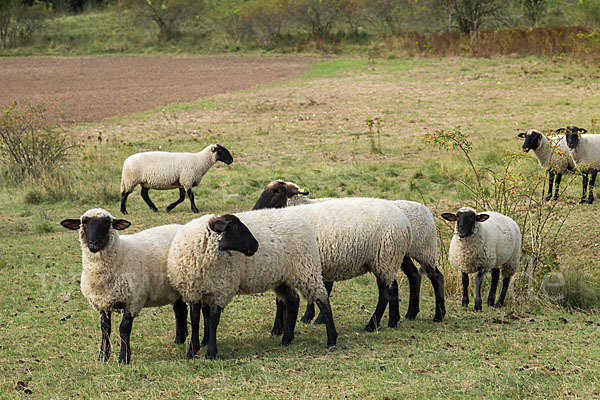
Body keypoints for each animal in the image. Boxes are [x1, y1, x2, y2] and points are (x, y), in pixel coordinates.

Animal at [60, 209, 184, 366]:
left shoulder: (133, 300)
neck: (120, 253)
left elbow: (124, 329)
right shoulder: (102, 302)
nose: (93, 243)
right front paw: (103, 356)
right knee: (179, 310)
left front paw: (124, 357)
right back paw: (179, 340)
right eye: (84, 222)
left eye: (106, 223)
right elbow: (105, 329)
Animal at [166, 209, 338, 360]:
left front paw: (210, 352)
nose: (256, 245)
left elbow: (213, 321)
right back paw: (286, 340)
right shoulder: (194, 292)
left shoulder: (221, 290)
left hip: (306, 270)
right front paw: (192, 351)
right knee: (293, 302)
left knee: (322, 300)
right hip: (283, 277)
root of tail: (302, 220)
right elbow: (195, 320)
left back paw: (331, 340)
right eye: (235, 227)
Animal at [251, 180, 442, 328]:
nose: (255, 210)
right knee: (411, 277)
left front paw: (309, 318)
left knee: (432, 277)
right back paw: (404, 316)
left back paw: (434, 316)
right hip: (395, 255)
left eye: (278, 191)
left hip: (416, 251)